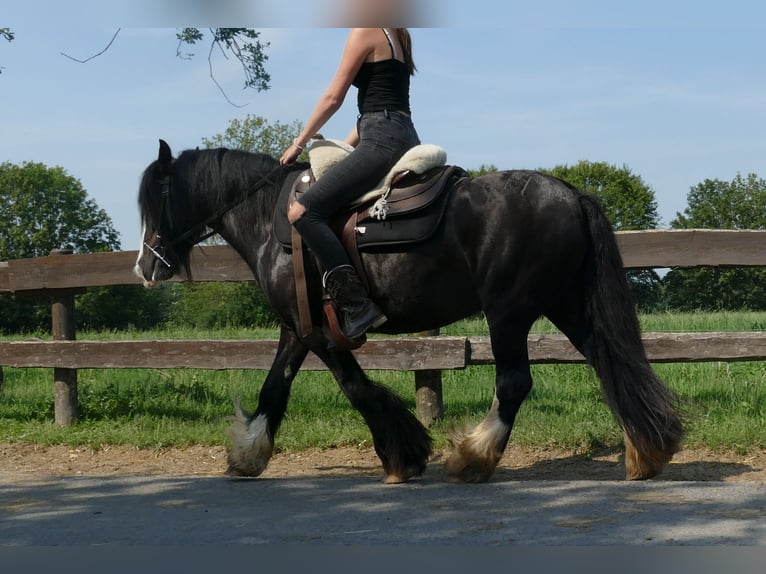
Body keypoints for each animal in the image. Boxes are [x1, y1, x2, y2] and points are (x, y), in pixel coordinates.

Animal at [135, 141, 688, 486]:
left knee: (514, 383)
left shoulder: (322, 336)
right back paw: (646, 449)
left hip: (508, 313)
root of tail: (571, 193)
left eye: (154, 201)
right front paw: (249, 455)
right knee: (610, 363)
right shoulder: (297, 329)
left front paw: (403, 455)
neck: (275, 221)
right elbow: (274, 388)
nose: (145, 266)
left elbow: (357, 389)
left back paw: (473, 458)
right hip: (567, 306)